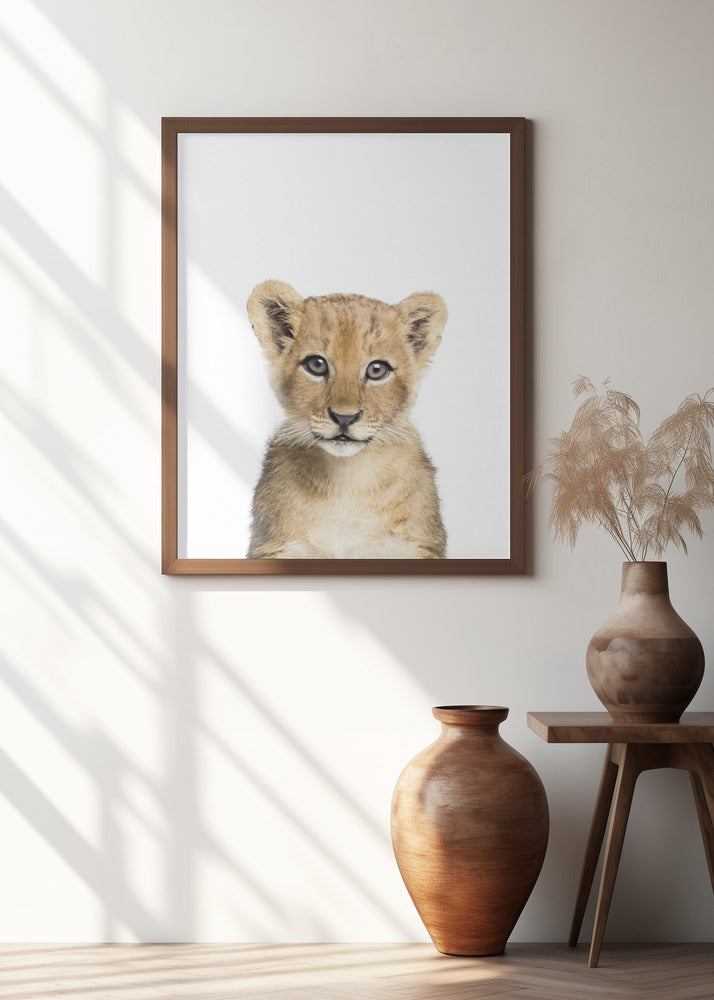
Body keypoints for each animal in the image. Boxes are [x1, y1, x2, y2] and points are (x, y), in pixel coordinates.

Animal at [246, 280, 447, 559]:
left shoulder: (416, 546)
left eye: (377, 369)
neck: (347, 480)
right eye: (316, 364)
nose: (344, 417)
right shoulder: (277, 547)